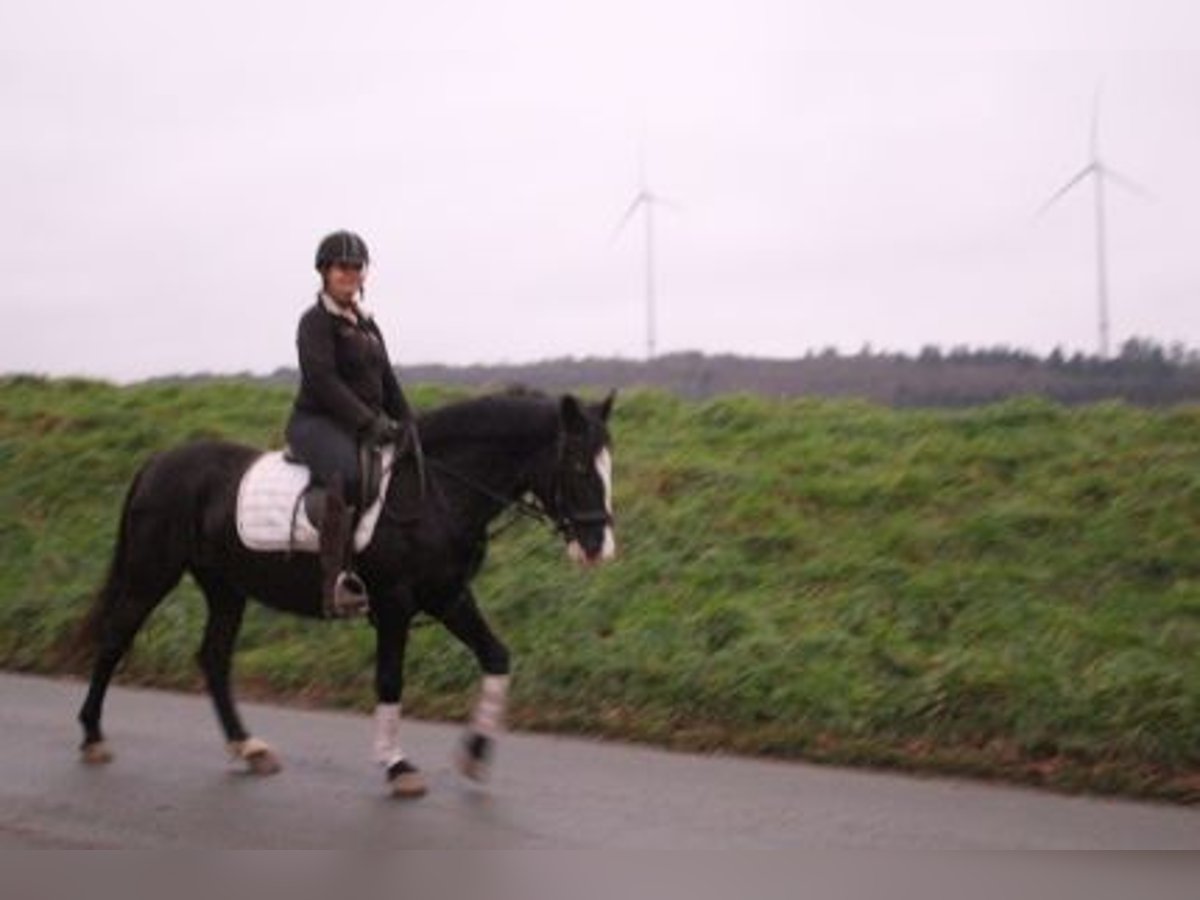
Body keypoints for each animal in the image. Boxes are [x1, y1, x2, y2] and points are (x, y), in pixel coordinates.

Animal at [73, 388, 614, 796]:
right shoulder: (395, 603)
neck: (435, 490)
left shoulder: (448, 597)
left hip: (225, 587)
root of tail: (157, 462)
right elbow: (390, 680)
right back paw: (93, 737)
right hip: (151, 573)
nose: (599, 548)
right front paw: (397, 765)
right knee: (116, 639)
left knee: (213, 658)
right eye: (579, 467)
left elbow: (497, 657)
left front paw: (475, 754)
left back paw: (248, 747)